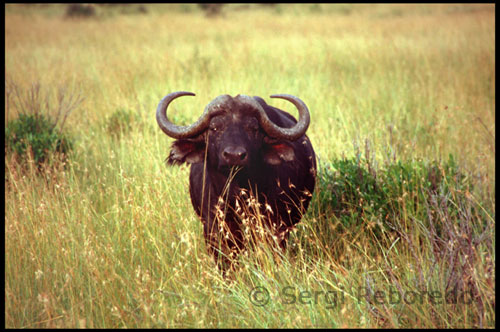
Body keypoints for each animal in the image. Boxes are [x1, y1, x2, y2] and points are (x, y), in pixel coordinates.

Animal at [155, 92, 316, 268]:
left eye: (253, 129)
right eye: (214, 128)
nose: (234, 156)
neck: (234, 195)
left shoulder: (275, 229)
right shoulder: (213, 230)